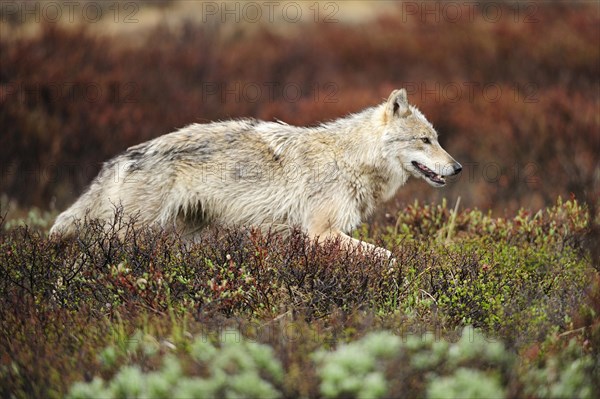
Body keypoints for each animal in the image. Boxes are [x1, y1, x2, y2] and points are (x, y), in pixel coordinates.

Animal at [52, 89, 464, 258]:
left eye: (437, 139)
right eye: (425, 140)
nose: (458, 167)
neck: (350, 159)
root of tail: (122, 156)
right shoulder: (320, 233)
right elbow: (388, 256)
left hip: (183, 236)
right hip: (127, 233)